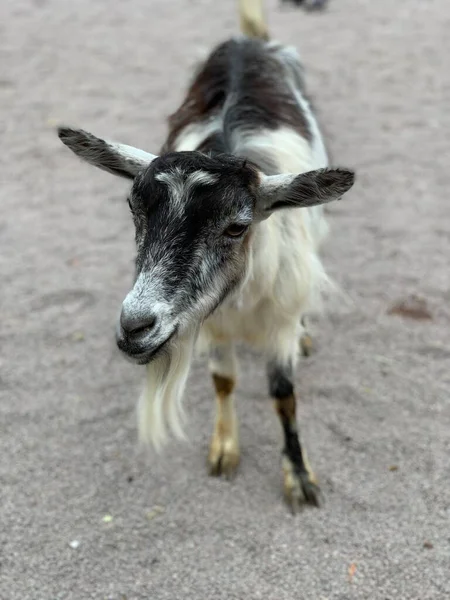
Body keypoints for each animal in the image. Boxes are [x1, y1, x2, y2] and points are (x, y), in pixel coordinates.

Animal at [58, 0, 356, 510]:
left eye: (237, 226)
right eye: (134, 208)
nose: (135, 328)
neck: (243, 302)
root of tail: (247, 40)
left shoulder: (277, 320)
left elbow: (283, 394)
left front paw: (299, 477)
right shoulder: (207, 321)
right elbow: (224, 382)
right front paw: (224, 449)